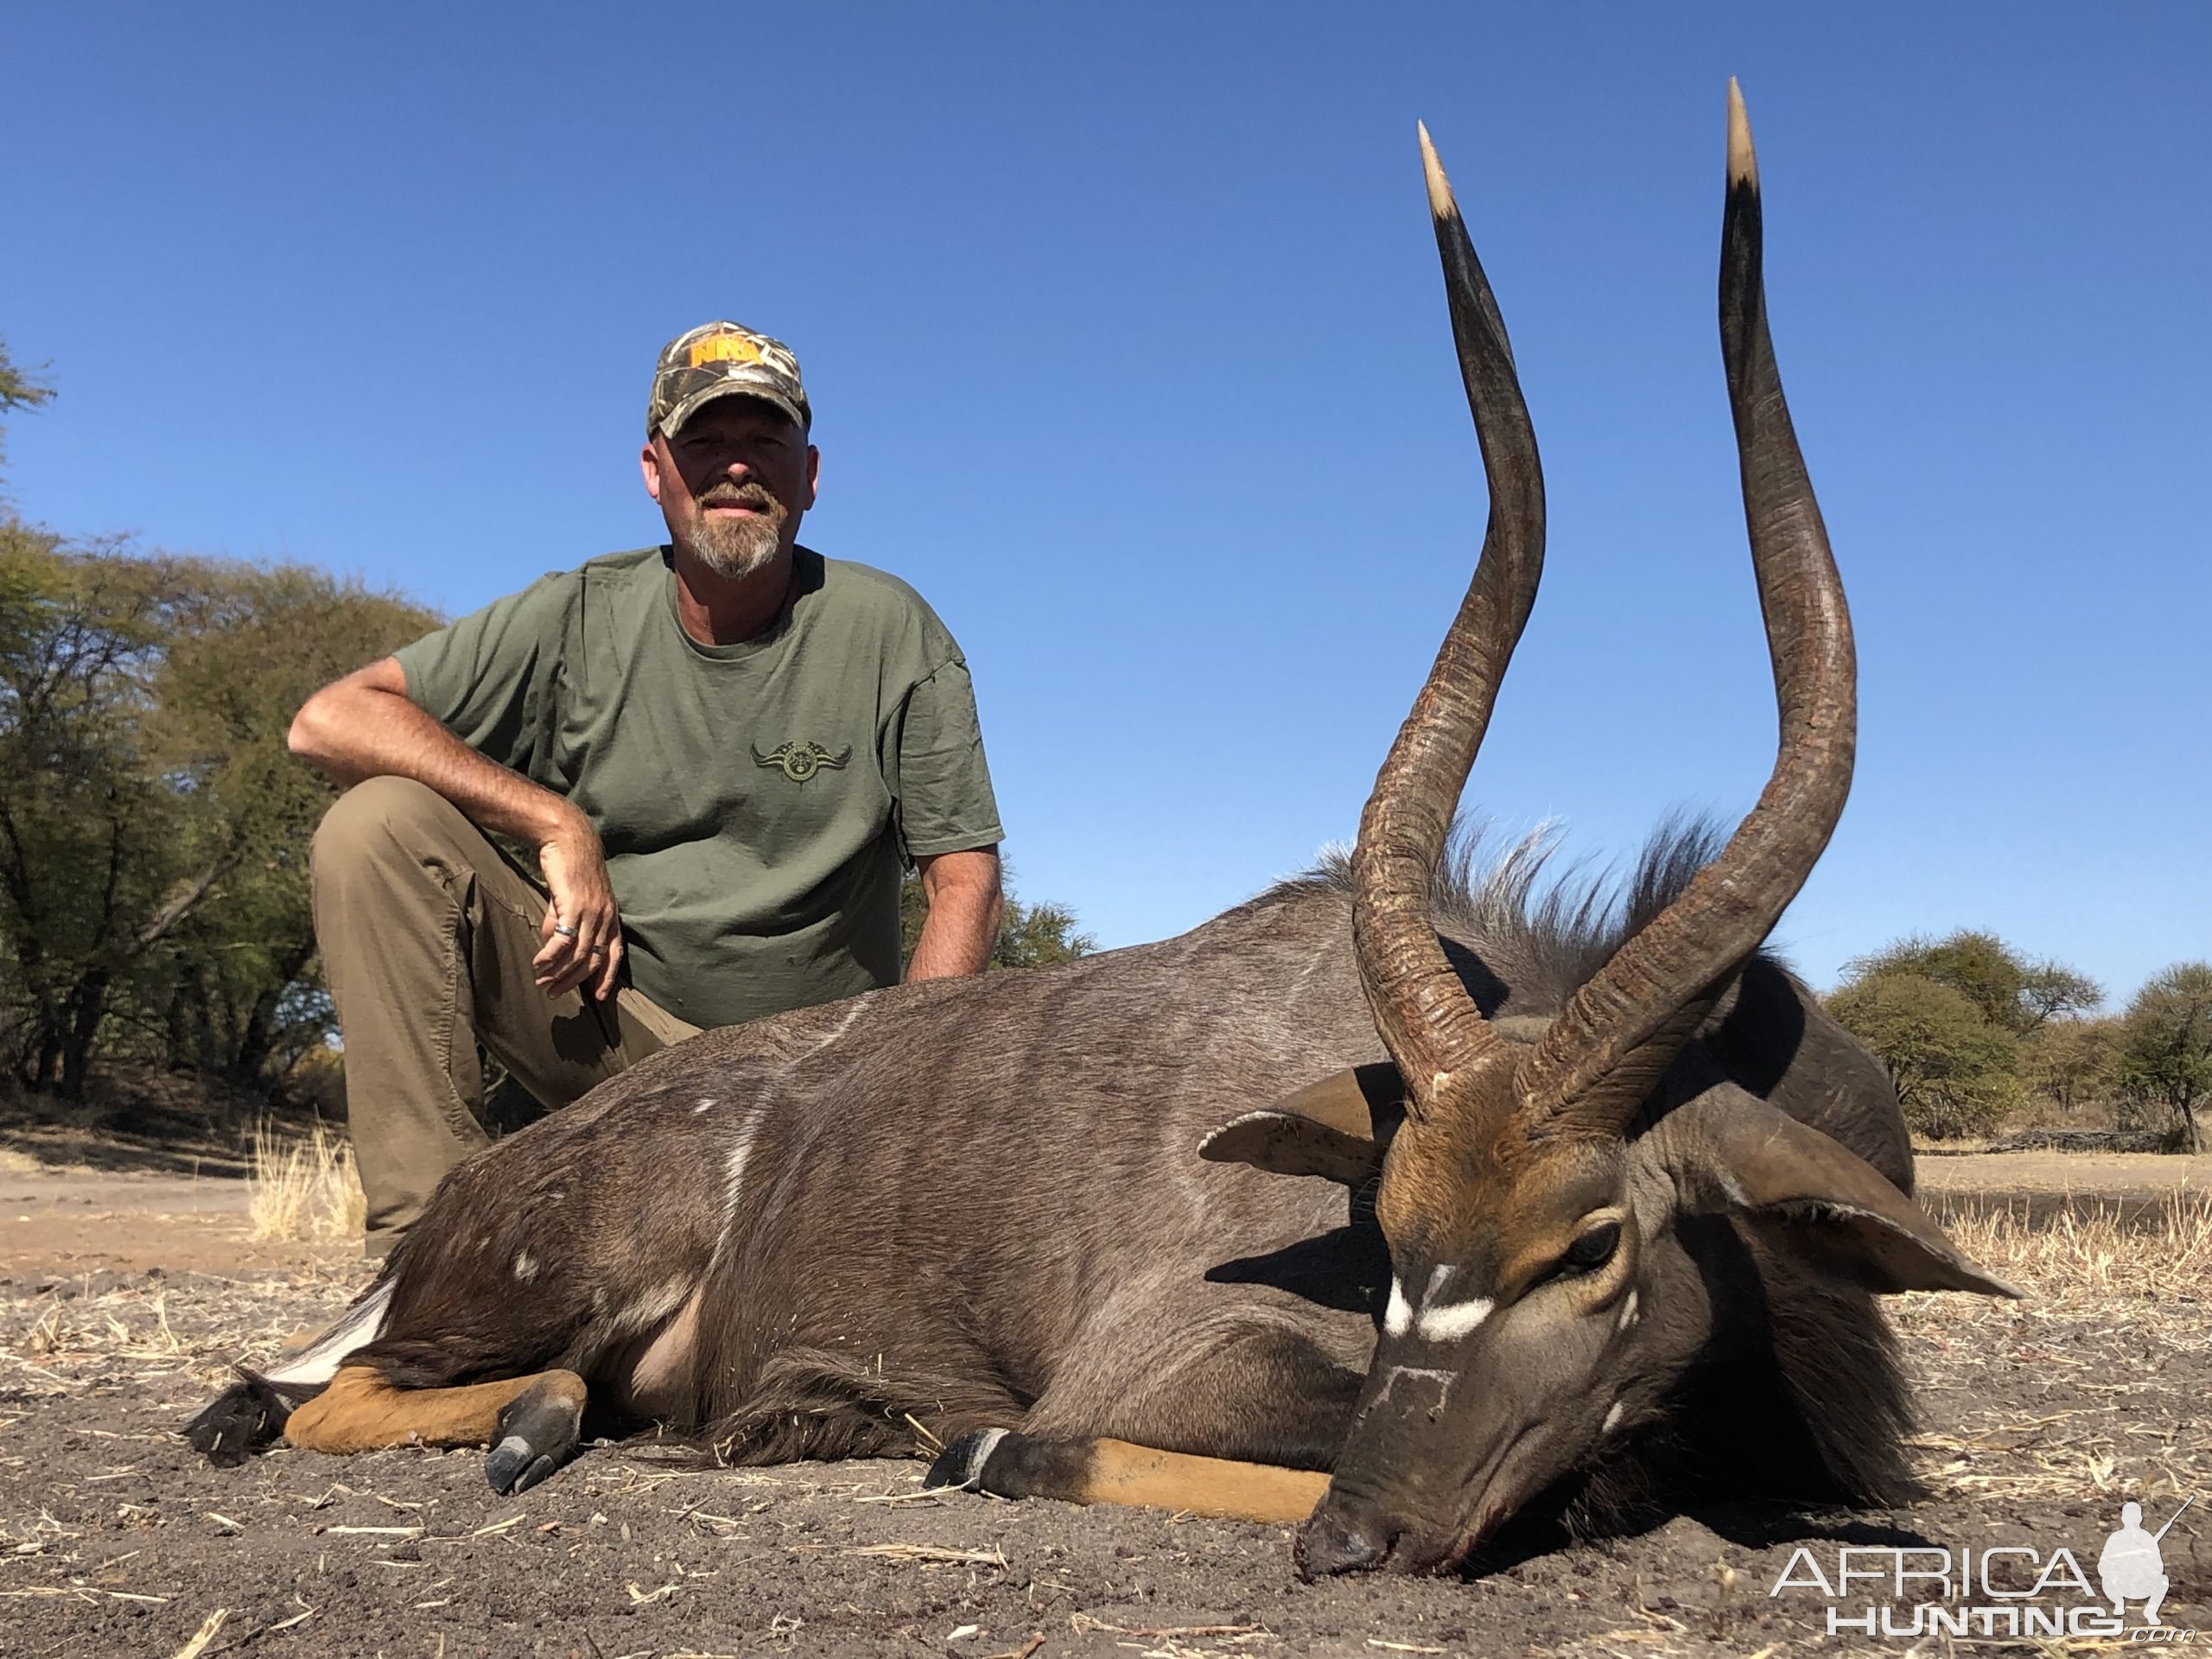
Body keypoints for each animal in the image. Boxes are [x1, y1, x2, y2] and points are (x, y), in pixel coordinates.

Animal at [194, 84, 2025, 1574]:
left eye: (1593, 1241)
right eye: (1391, 1229)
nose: (1366, 1536)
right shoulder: (1167, 1365)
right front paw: (980, 1448)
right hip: (536, 1287)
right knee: (334, 1396)